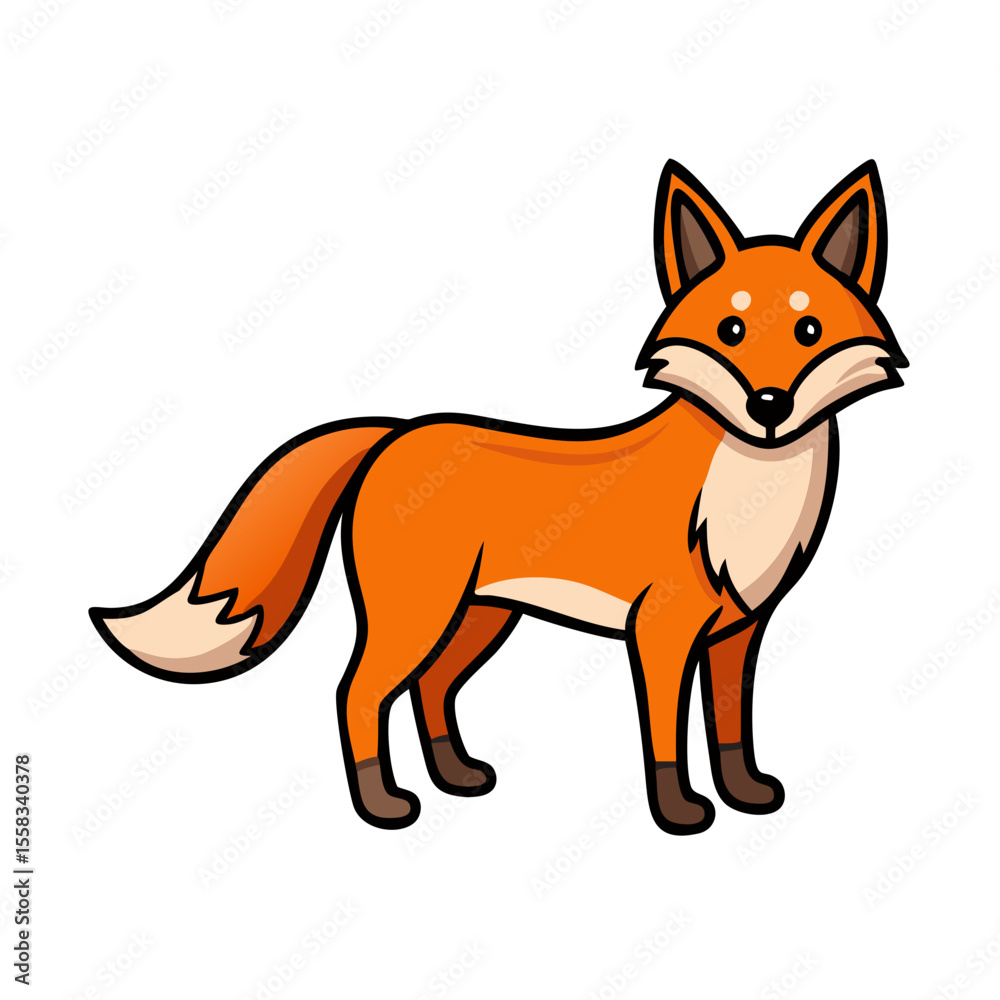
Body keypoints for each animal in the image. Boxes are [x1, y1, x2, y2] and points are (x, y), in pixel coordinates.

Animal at [91, 159, 906, 834]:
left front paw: (747, 795)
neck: (746, 499)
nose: (769, 405)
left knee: (429, 691)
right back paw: (383, 805)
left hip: (479, 620)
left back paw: (456, 776)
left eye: (809, 329)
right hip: (418, 615)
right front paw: (679, 814)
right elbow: (667, 739)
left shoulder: (739, 630)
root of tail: (397, 432)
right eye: (731, 330)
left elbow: (732, 728)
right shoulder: (661, 632)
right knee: (358, 692)